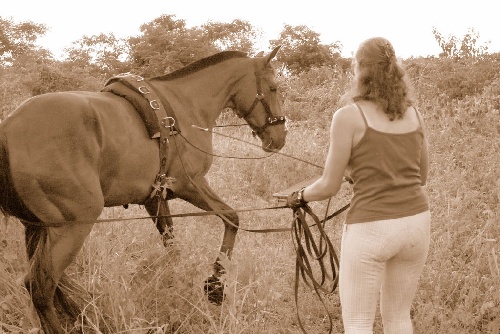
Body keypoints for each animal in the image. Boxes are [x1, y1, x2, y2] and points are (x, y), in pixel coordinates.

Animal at [0, 45, 288, 332]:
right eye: (274, 88)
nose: (280, 137)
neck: (185, 105)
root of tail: (9, 129)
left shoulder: (155, 199)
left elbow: (172, 244)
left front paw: (178, 280)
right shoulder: (190, 184)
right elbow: (232, 218)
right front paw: (215, 284)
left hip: (38, 228)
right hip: (71, 228)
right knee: (40, 286)